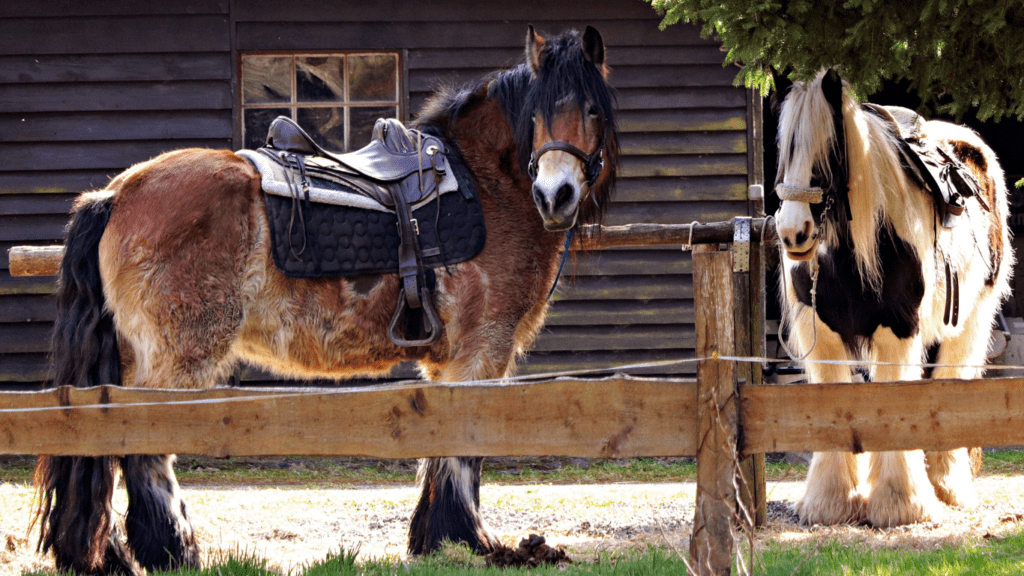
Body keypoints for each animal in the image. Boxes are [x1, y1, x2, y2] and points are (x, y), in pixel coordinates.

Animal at [37, 24, 614, 569]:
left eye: (591, 108)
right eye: (537, 114)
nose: (555, 196)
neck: (486, 183)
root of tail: (115, 194)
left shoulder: (451, 361)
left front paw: (434, 541)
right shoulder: (482, 350)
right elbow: (465, 445)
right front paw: (468, 541)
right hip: (178, 359)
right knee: (142, 448)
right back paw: (175, 552)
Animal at [774, 70, 1007, 524]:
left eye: (828, 150)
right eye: (784, 149)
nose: (793, 233)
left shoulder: (897, 330)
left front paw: (901, 503)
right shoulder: (823, 337)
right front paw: (830, 501)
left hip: (969, 324)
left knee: (949, 382)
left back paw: (945, 486)